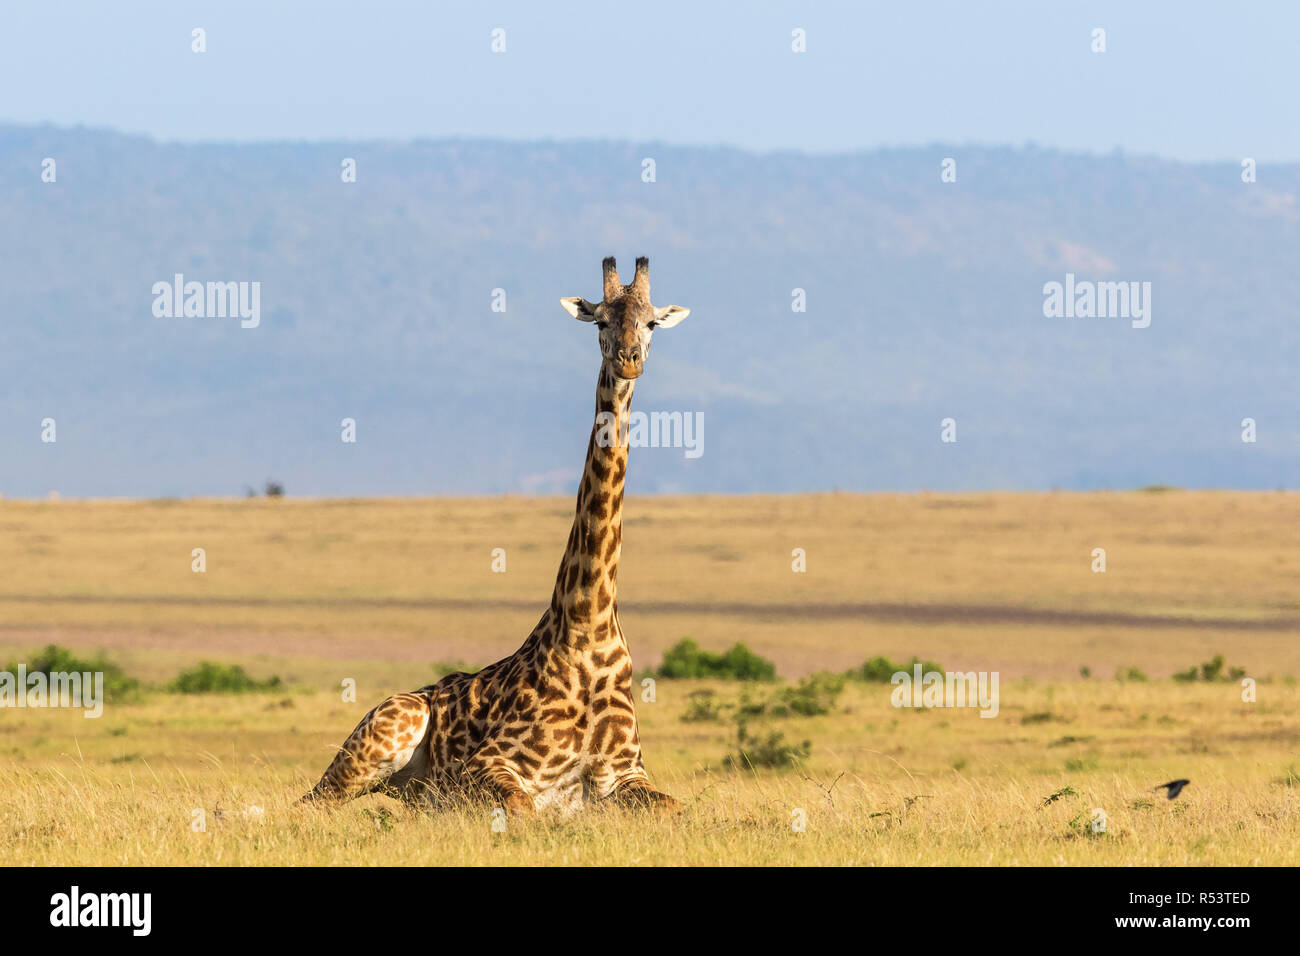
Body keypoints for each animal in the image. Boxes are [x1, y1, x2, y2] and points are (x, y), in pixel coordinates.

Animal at [301, 257, 691, 816]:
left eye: (652, 322)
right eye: (599, 320)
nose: (629, 359)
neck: (588, 629)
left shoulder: (627, 772)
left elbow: (674, 806)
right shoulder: (486, 765)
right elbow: (523, 810)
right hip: (377, 738)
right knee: (311, 801)